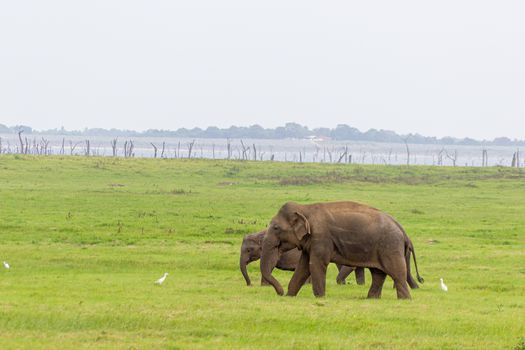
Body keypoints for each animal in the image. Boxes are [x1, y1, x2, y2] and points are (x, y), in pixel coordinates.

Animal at [260, 201, 424, 300]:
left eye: (276, 228)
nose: (280, 293)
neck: (305, 208)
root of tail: (403, 230)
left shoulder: (321, 238)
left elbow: (316, 264)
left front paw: (320, 298)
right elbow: (303, 267)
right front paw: (290, 296)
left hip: (390, 247)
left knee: (396, 272)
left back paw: (404, 300)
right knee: (378, 273)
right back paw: (371, 299)